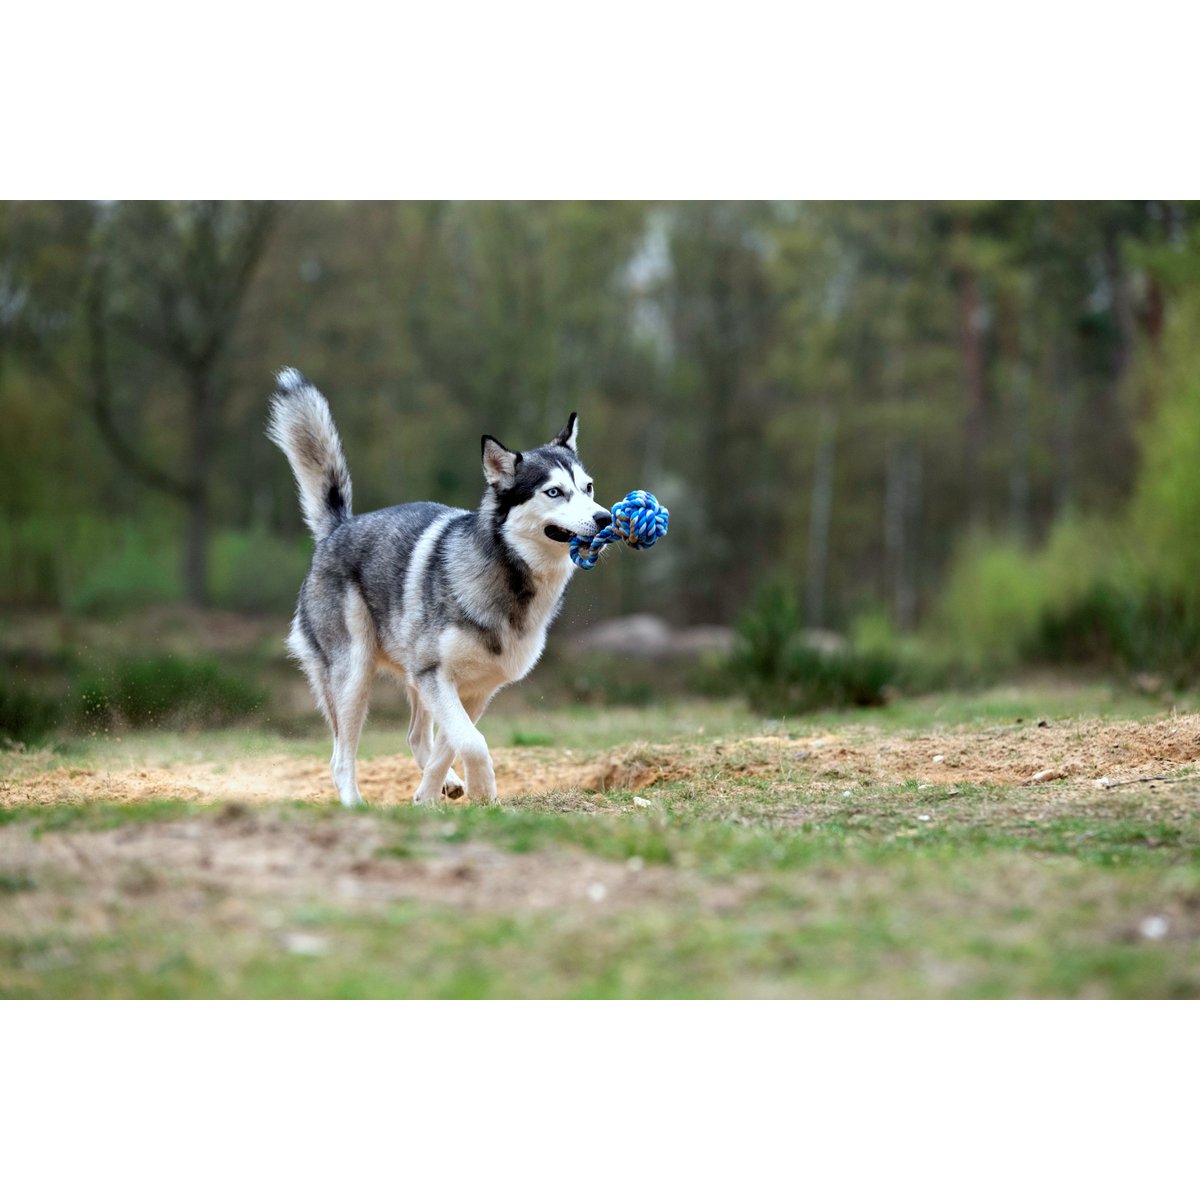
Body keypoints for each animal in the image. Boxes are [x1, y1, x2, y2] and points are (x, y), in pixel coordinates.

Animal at [268, 367, 614, 806]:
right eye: (554, 492)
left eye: (588, 488)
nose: (605, 518)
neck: (508, 576)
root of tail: (339, 527)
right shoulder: (436, 676)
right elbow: (473, 742)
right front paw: (483, 791)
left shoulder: (474, 689)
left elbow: (451, 742)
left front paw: (430, 794)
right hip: (353, 675)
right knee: (340, 758)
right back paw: (354, 803)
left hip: (409, 676)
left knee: (416, 736)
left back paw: (445, 782)